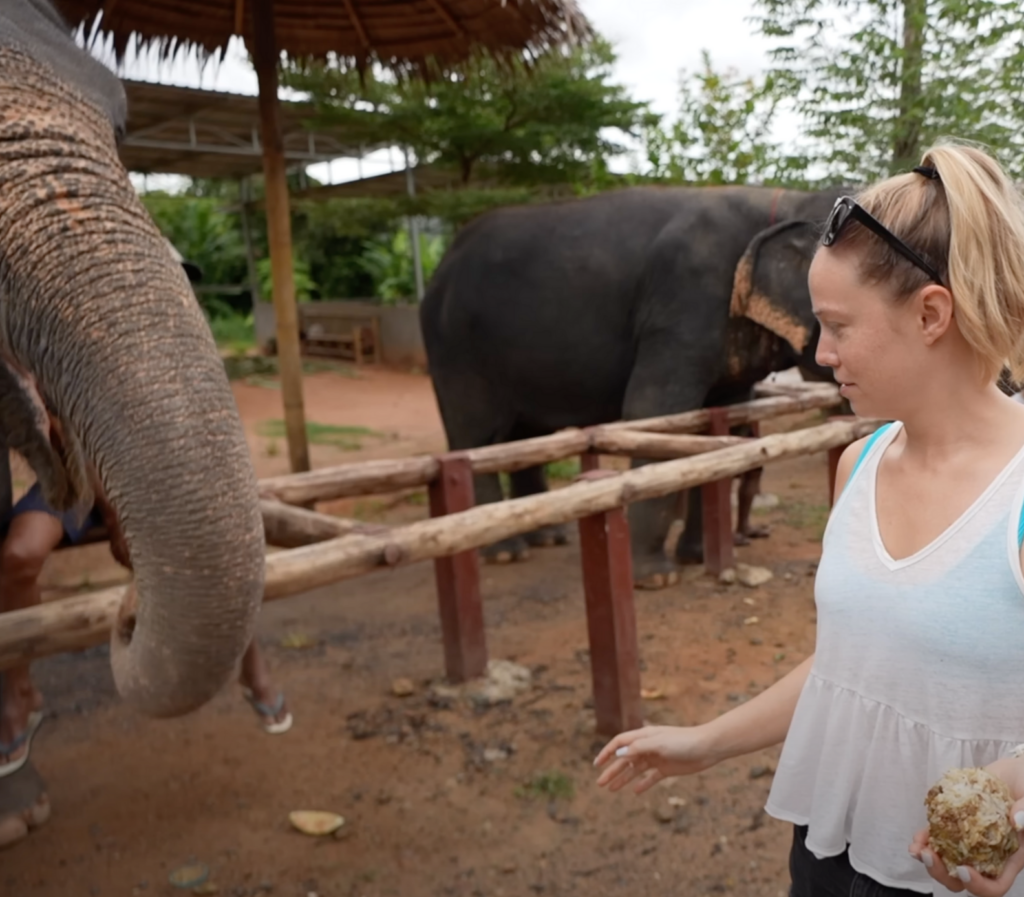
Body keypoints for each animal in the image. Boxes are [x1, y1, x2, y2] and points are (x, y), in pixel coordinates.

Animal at [419, 183, 843, 589]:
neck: (786, 201)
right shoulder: (683, 305)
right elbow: (652, 413)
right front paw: (656, 578)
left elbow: (719, 425)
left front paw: (696, 557)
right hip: (455, 346)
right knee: (476, 436)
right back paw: (506, 552)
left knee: (524, 437)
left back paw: (548, 538)